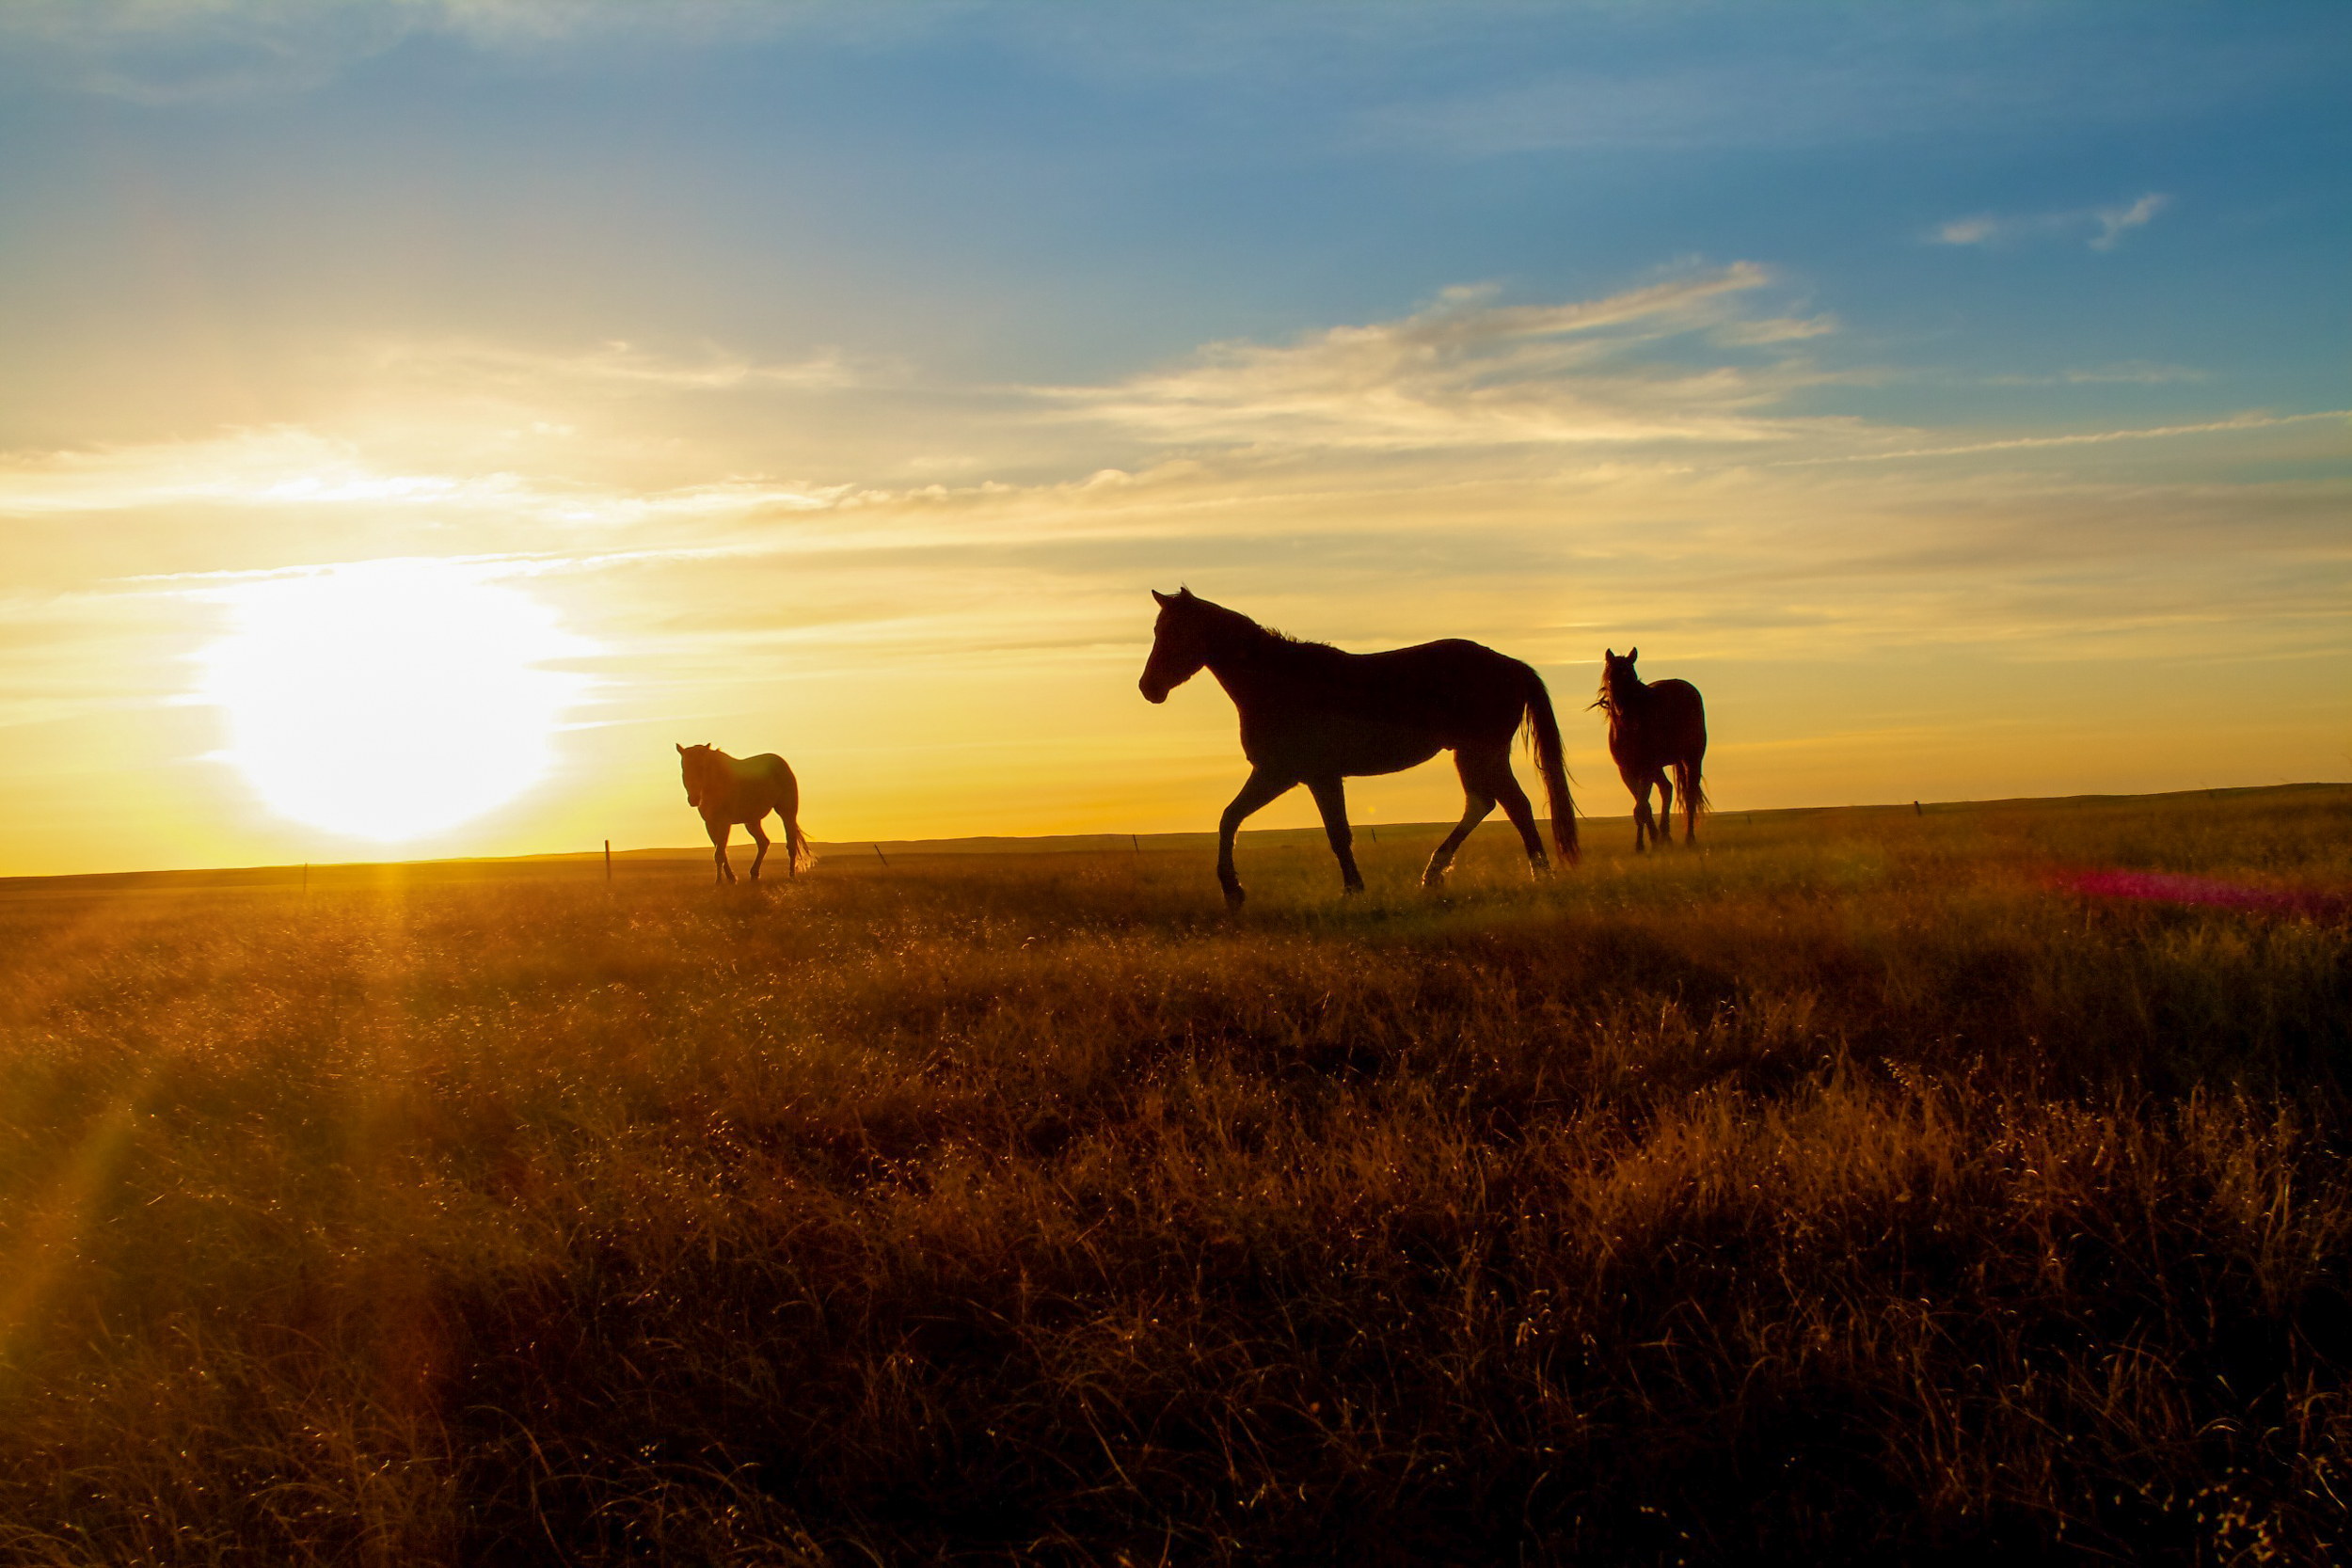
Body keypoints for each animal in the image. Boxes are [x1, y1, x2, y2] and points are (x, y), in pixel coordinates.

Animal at [677, 737, 814, 879]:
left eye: (702, 767)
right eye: (684, 768)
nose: (694, 799)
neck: (714, 784)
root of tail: (783, 764)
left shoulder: (724, 822)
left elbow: (720, 854)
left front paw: (719, 881)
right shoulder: (710, 824)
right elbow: (720, 852)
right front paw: (731, 878)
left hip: (787, 813)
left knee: (791, 845)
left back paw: (791, 875)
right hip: (752, 821)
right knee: (763, 842)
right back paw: (754, 873)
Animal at [1138, 585, 1581, 907]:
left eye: (1174, 632)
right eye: (1159, 631)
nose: (1148, 688)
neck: (1279, 681)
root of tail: (1512, 666)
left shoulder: (1286, 774)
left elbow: (1241, 820)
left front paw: (1235, 890)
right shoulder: (1306, 777)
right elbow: (1323, 832)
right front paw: (1352, 889)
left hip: (1482, 752)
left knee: (1514, 806)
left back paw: (1538, 876)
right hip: (1471, 754)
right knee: (1485, 804)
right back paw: (1434, 874)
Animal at [1599, 643, 1712, 850]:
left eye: (1632, 677)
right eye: (1610, 677)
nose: (1625, 715)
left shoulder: (1645, 769)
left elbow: (1641, 807)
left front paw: (1642, 844)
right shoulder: (1626, 771)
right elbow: (1643, 806)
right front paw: (1652, 839)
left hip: (1691, 759)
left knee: (1690, 796)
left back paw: (1689, 838)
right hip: (1658, 767)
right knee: (1667, 789)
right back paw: (1665, 835)